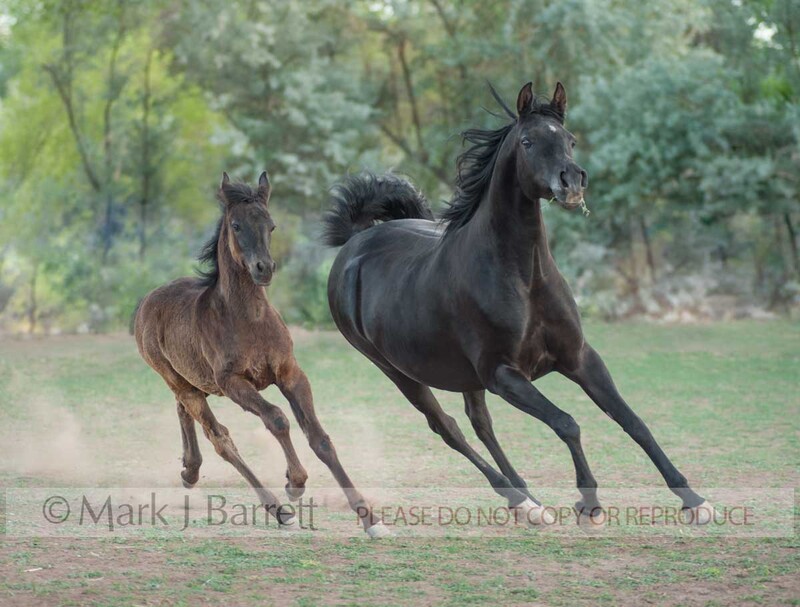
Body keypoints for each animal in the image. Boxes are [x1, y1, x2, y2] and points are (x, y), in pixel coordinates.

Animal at [134, 171, 388, 537]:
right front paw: (295, 483)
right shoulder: (233, 383)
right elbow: (277, 418)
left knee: (184, 411)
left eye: (271, 225)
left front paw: (370, 518)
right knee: (219, 437)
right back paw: (278, 510)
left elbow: (320, 438)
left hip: (192, 382)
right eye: (236, 225)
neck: (249, 319)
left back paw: (190, 471)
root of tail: (147, 302)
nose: (264, 268)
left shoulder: (291, 373)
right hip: (179, 381)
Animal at [323, 82, 714, 526]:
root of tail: (355, 242)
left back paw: (528, 502)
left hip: (463, 374)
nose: (571, 182)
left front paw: (694, 500)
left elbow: (632, 421)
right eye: (528, 141)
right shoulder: (504, 374)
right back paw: (518, 498)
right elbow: (567, 423)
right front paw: (590, 503)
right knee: (448, 428)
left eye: (570, 139)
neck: (525, 281)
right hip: (399, 372)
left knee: (480, 424)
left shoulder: (579, 357)